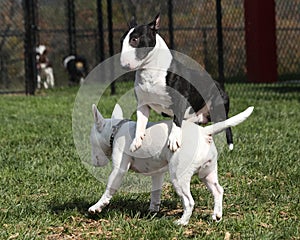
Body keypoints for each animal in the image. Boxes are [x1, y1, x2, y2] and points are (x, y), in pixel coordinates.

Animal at [87, 103, 253, 225]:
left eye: (91, 141)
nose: (93, 162)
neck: (115, 130)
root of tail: (204, 132)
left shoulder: (118, 170)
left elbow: (109, 189)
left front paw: (97, 207)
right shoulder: (157, 173)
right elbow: (155, 193)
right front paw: (152, 211)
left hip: (178, 178)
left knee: (189, 201)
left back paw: (182, 222)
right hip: (207, 174)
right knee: (218, 190)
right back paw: (216, 215)